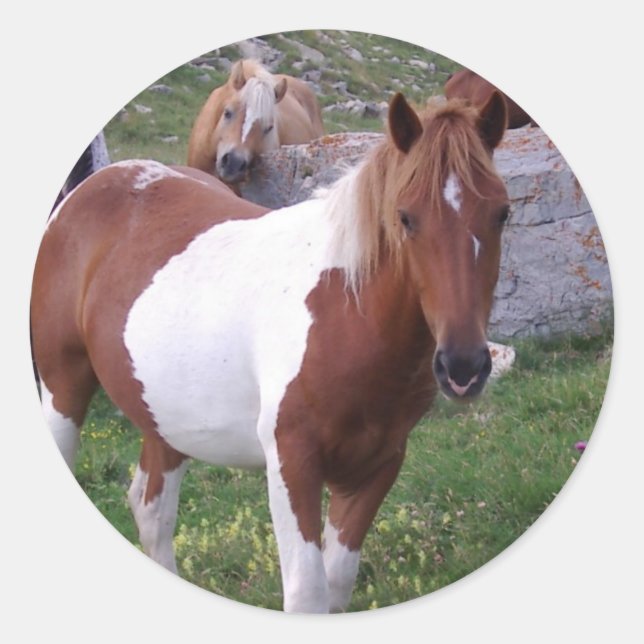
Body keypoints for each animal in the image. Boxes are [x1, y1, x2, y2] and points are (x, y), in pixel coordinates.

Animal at [31, 90, 509, 613]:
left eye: (503, 213)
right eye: (405, 217)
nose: (463, 366)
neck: (346, 310)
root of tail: (90, 186)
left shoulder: (377, 465)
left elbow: (337, 584)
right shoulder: (292, 464)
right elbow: (307, 592)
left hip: (165, 416)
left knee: (151, 510)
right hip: (63, 388)